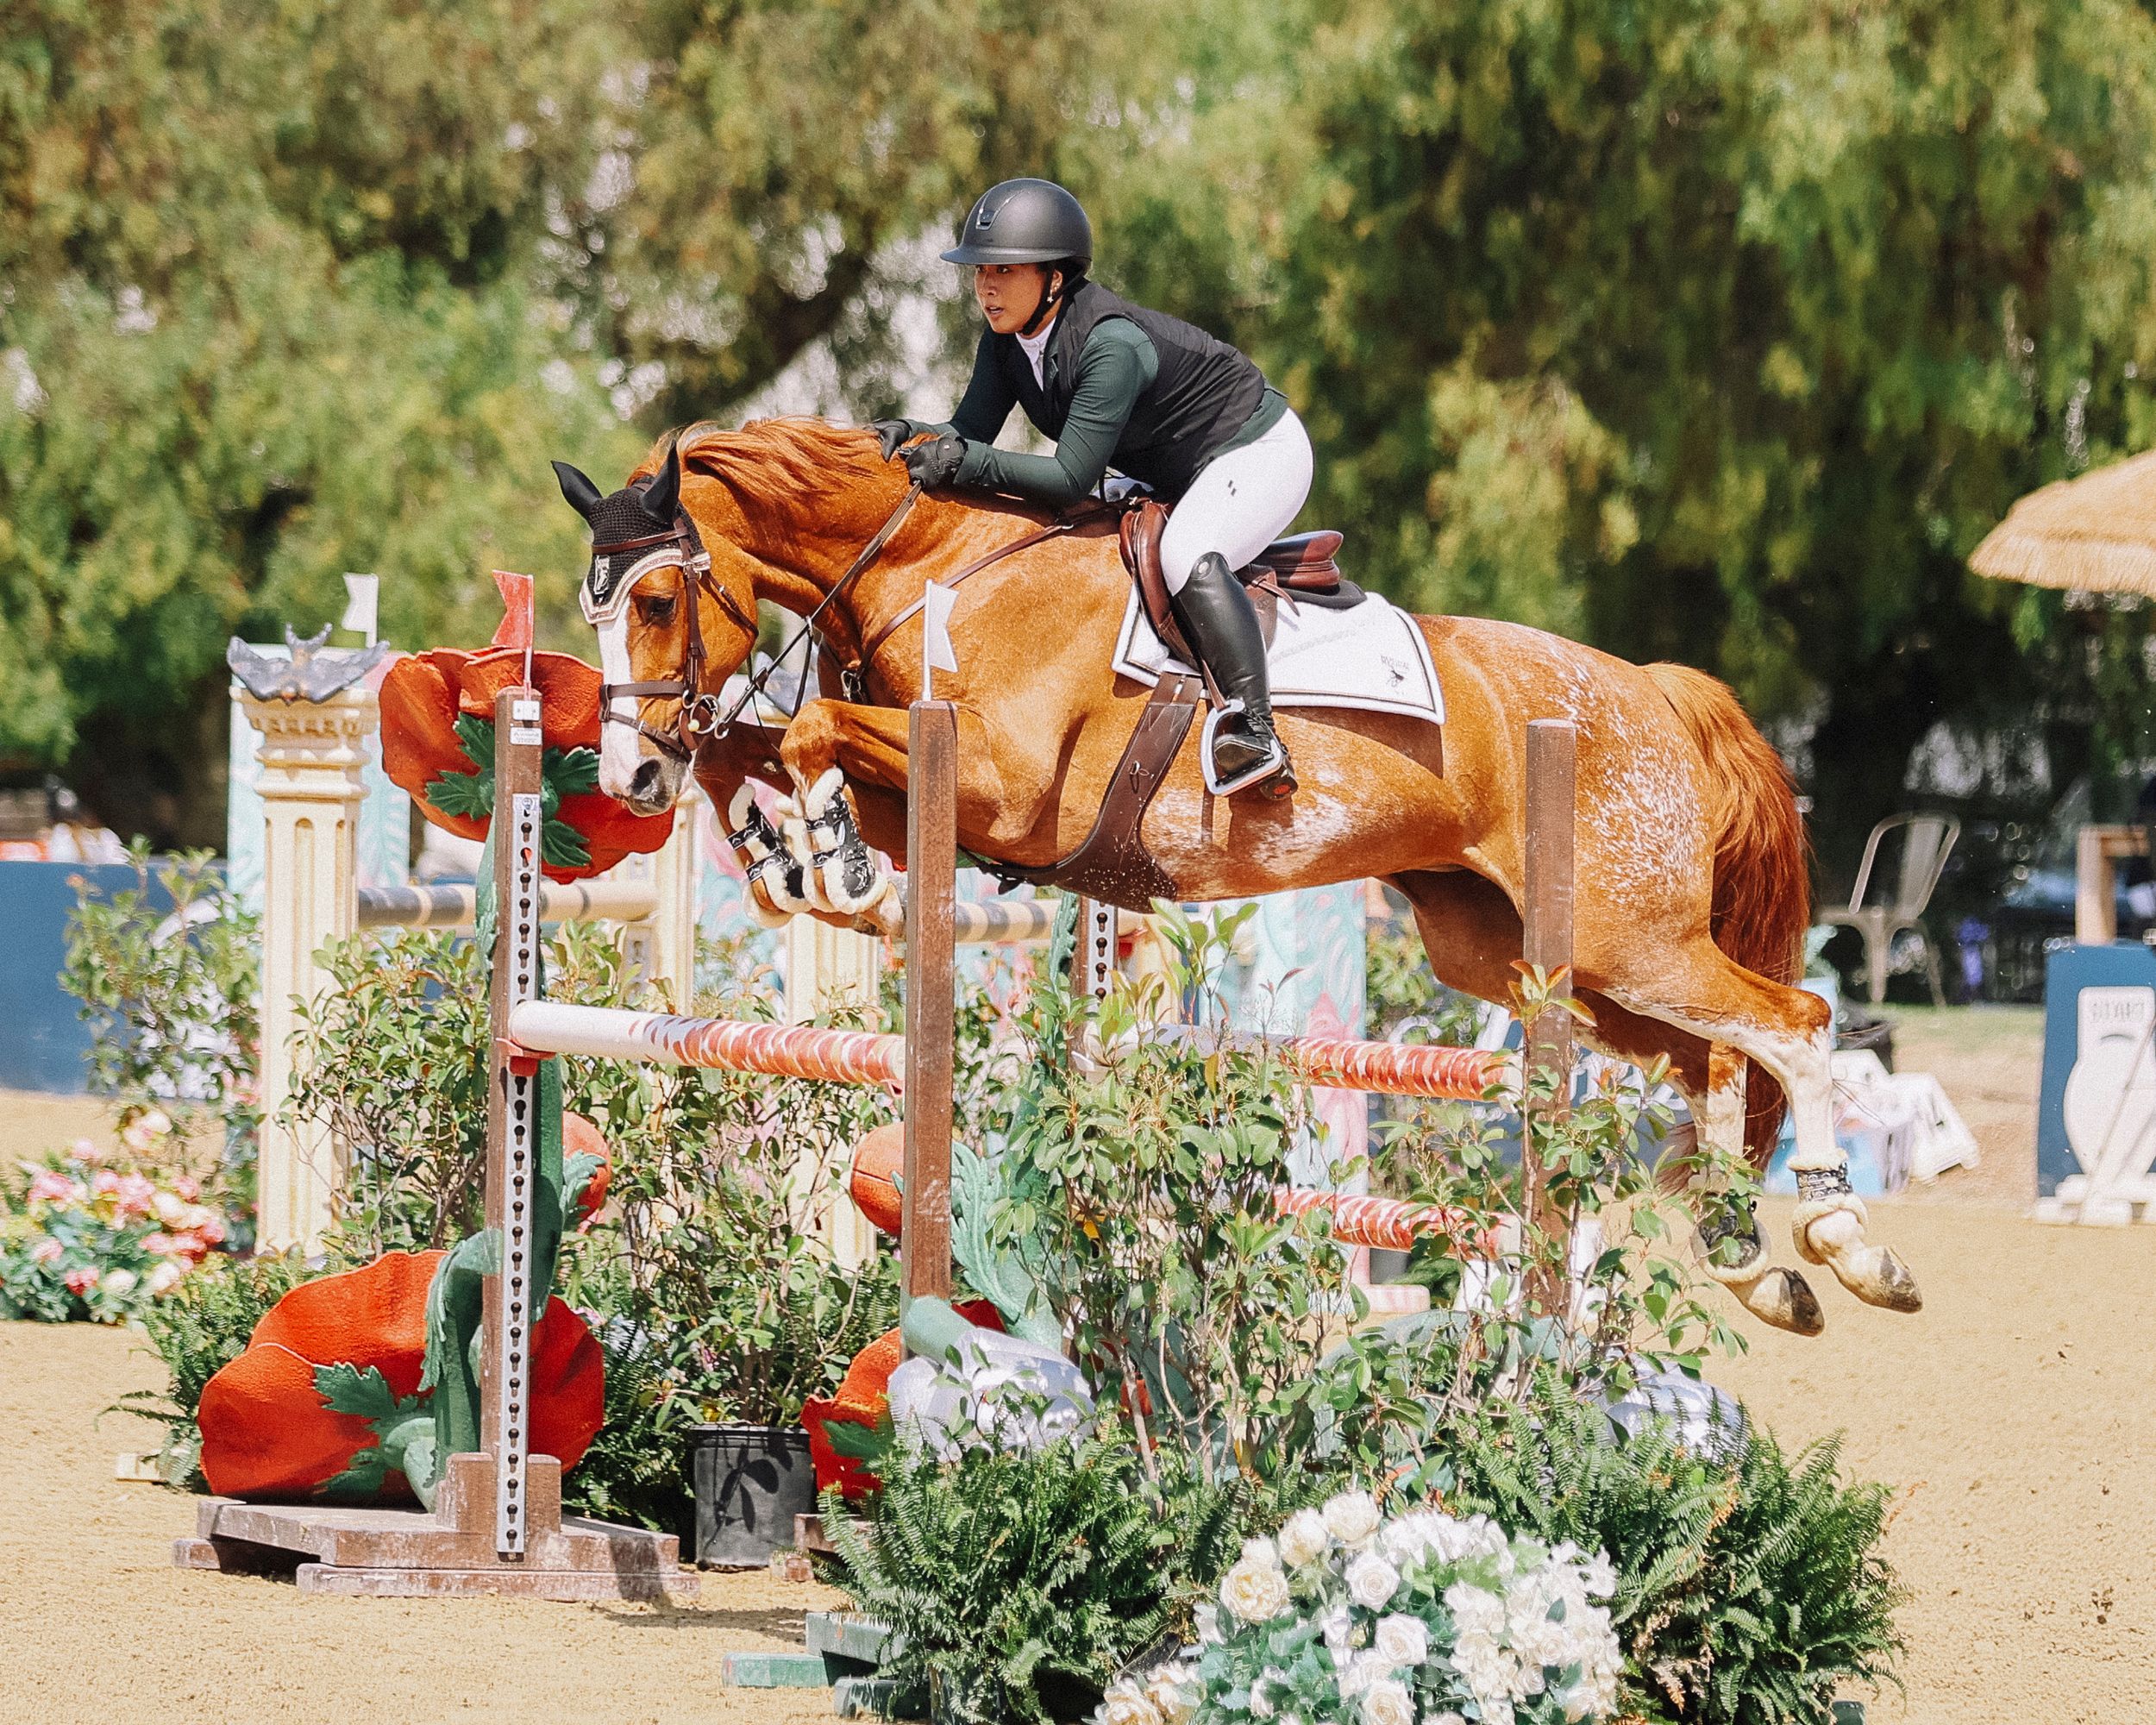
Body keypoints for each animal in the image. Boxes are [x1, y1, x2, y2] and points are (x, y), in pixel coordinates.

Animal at [549, 416, 1921, 1338]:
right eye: (594, 614)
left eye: (659, 602)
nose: (627, 776)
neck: (937, 562)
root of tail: (1654, 689)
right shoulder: (944, 795)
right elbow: (757, 748)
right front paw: (784, 853)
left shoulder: (998, 784)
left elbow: (812, 739)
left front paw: (828, 858)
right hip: (1530, 955)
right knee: (1708, 1058)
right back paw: (1752, 1255)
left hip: (1630, 939)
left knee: (1792, 1019)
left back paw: (1846, 1238)